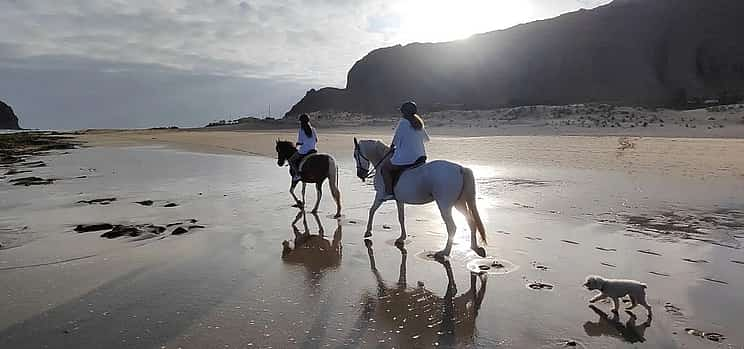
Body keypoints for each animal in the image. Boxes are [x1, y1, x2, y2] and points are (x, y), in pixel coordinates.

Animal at [354, 137, 488, 256]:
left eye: (355, 155)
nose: (360, 175)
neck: (383, 163)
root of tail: (460, 168)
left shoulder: (380, 196)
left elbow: (372, 210)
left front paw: (368, 232)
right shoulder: (399, 200)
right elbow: (401, 217)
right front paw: (402, 237)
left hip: (445, 205)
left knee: (452, 227)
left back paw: (445, 252)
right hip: (458, 203)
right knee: (470, 221)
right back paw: (474, 247)